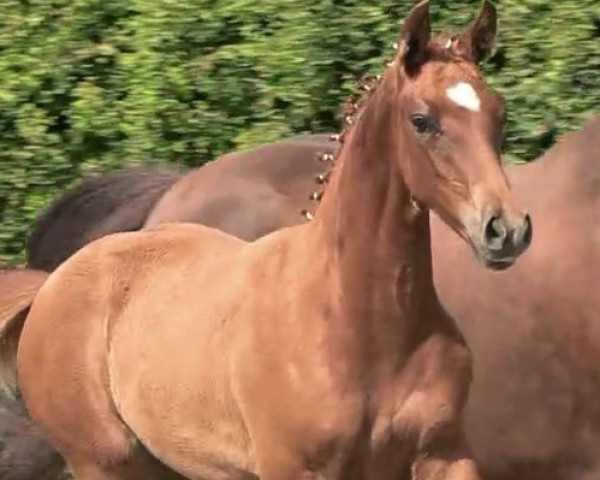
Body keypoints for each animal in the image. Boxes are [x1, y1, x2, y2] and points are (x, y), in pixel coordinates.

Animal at [4, 1, 532, 478]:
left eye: (499, 115)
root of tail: (51, 284)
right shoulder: (295, 467)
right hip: (106, 464)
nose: (506, 229)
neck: (357, 320)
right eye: (421, 120)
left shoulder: (443, 453)